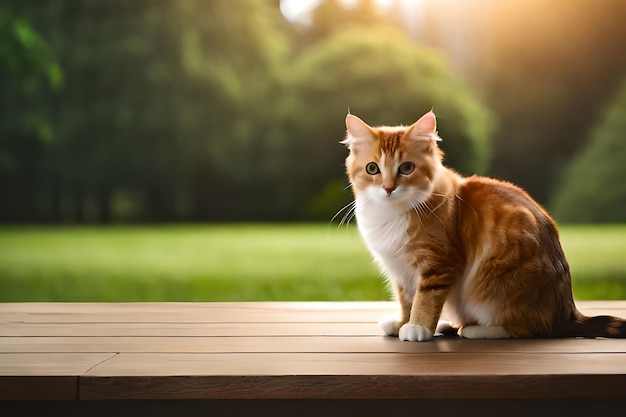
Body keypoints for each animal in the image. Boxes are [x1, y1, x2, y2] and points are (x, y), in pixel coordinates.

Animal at [342, 110, 624, 342]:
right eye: (372, 168)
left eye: (407, 168)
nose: (388, 188)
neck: (392, 213)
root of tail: (567, 312)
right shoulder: (402, 272)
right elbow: (407, 300)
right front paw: (402, 322)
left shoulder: (439, 263)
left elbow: (424, 299)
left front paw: (417, 327)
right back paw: (448, 326)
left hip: (495, 290)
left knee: (528, 328)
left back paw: (474, 329)